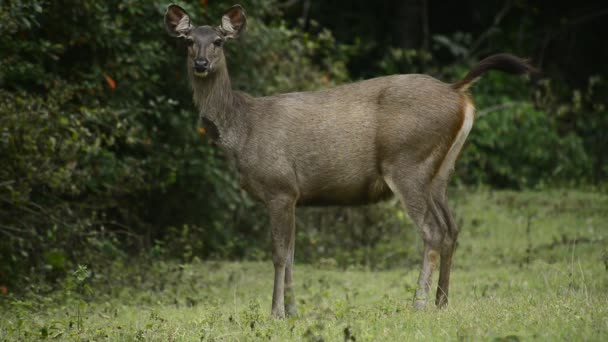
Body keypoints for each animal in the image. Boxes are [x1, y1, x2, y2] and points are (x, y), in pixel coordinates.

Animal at [164, 3, 536, 318]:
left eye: (218, 41)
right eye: (188, 42)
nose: (201, 64)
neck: (242, 130)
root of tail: (458, 92)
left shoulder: (279, 187)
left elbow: (279, 254)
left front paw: (276, 313)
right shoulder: (294, 195)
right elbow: (293, 254)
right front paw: (294, 311)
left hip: (407, 162)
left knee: (432, 231)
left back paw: (418, 304)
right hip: (442, 171)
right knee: (452, 228)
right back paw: (442, 302)